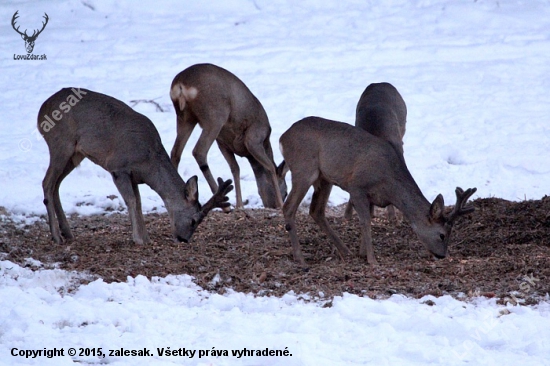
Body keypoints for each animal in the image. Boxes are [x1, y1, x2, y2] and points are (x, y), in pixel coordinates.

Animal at [38, 87, 233, 244]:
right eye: (194, 220)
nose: (184, 239)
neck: (149, 162)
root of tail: (41, 112)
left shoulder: (134, 176)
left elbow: (138, 202)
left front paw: (146, 238)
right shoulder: (118, 167)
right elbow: (131, 200)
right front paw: (138, 239)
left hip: (76, 155)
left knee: (56, 185)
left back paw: (67, 233)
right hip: (61, 143)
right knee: (47, 182)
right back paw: (56, 236)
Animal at [170, 63, 286, 209]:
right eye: (286, 192)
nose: (273, 205)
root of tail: (180, 83)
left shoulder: (223, 143)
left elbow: (235, 169)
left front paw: (239, 205)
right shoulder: (254, 138)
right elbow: (270, 166)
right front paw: (281, 205)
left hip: (185, 118)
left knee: (175, 152)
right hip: (214, 116)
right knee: (199, 151)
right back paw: (222, 201)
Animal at [280, 117, 478, 266]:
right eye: (442, 235)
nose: (442, 255)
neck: (388, 185)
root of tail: (282, 138)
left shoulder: (372, 197)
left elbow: (367, 219)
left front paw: (362, 253)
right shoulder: (356, 186)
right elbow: (366, 221)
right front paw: (372, 260)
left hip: (324, 178)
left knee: (316, 210)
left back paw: (345, 251)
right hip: (304, 168)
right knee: (288, 207)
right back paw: (300, 258)